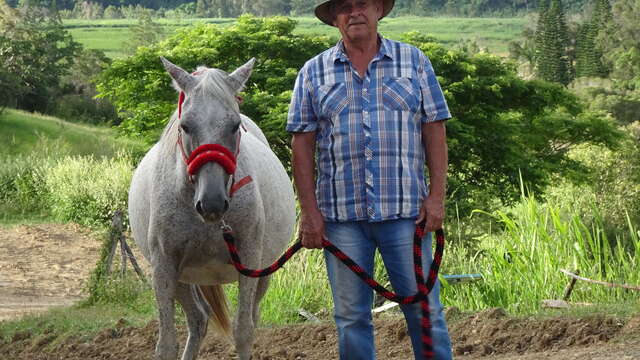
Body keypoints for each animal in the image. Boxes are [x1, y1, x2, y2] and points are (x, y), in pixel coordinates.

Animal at [128, 57, 298, 360]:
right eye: (185, 126)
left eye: (234, 125)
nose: (212, 203)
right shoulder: (164, 268)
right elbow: (166, 344)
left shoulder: (249, 261)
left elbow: (243, 332)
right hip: (183, 278)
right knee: (198, 318)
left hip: (263, 272)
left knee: (247, 317)